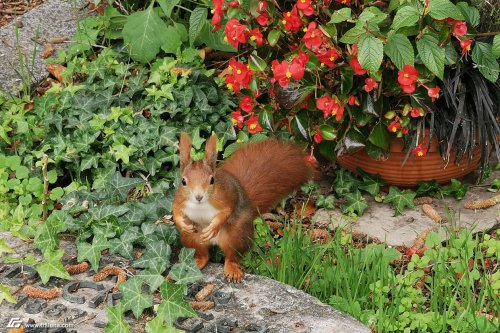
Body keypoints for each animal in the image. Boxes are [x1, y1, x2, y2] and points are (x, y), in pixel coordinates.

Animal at [172, 132, 312, 280]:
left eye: (212, 180)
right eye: (183, 181)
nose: (198, 197)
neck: (200, 205)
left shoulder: (226, 197)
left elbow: (227, 211)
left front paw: (213, 227)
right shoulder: (179, 199)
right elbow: (175, 210)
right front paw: (181, 223)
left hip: (237, 234)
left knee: (232, 256)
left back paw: (232, 269)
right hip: (191, 238)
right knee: (204, 255)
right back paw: (193, 264)